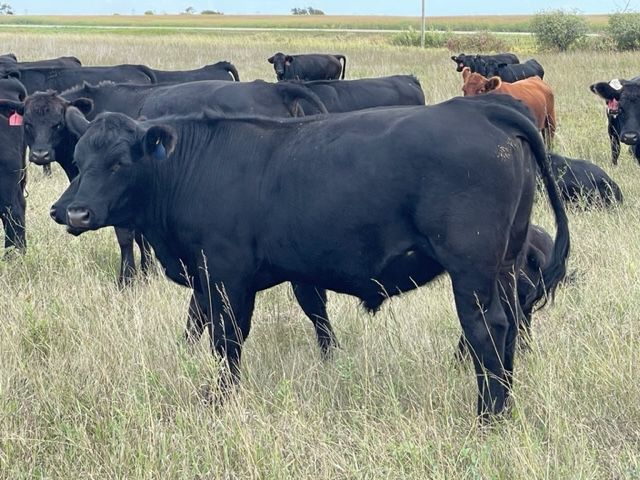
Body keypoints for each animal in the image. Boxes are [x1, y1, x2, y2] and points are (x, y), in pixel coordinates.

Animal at [55, 93, 569, 419]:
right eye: (79, 160)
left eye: (120, 162)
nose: (73, 212)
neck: (195, 167)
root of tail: (482, 109)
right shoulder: (220, 275)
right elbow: (207, 324)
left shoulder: (226, 274)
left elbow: (227, 340)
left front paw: (218, 400)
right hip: (504, 265)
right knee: (511, 327)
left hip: (472, 270)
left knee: (488, 331)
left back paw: (487, 415)